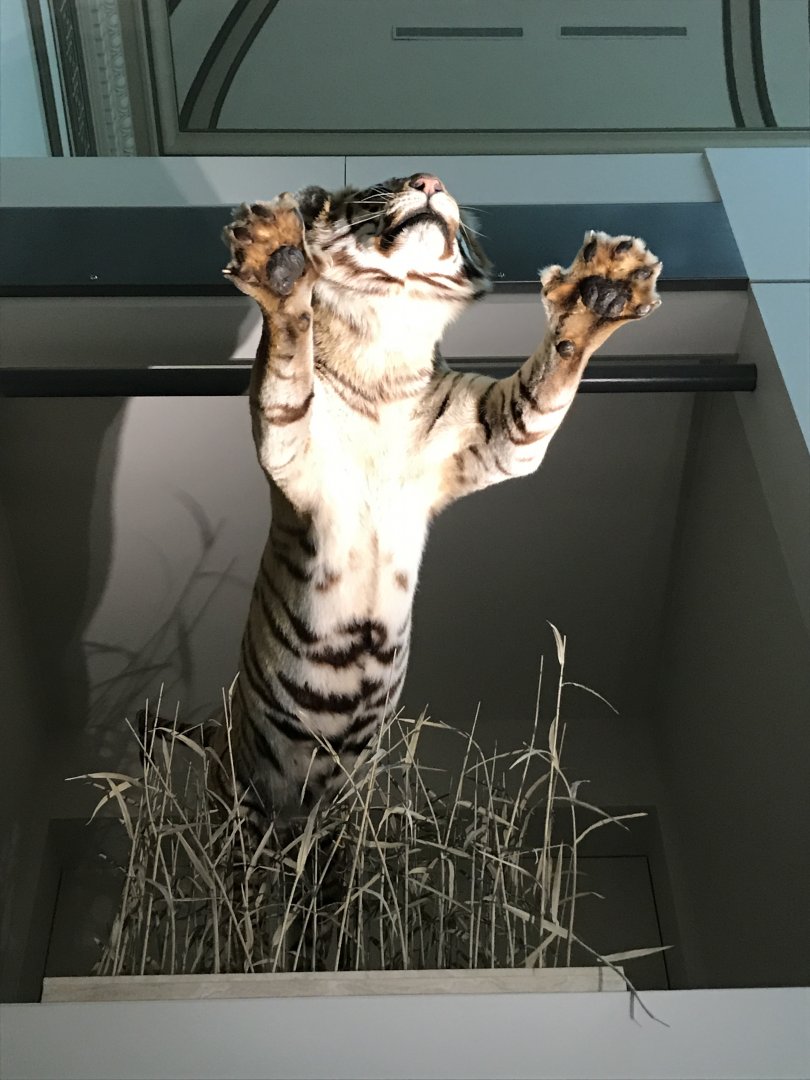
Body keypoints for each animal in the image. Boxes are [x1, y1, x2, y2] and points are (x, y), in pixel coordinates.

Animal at [219, 173, 661, 823]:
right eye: (381, 186)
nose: (430, 181)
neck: (389, 335)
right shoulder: (292, 452)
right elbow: (287, 372)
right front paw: (276, 258)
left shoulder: (497, 436)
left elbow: (547, 382)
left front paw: (602, 289)